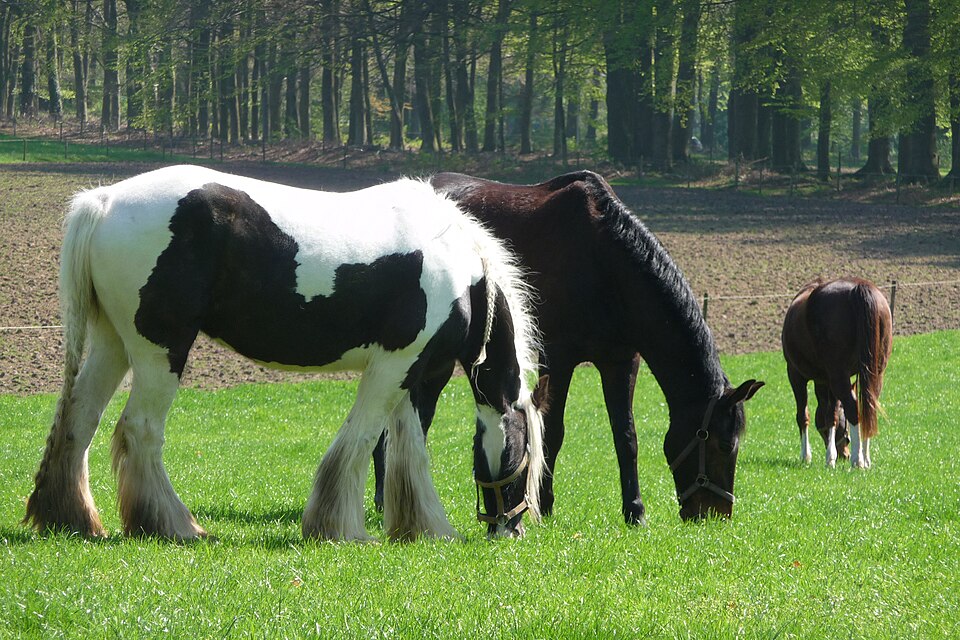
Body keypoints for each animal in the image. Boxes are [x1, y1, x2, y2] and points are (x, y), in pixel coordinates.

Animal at [24, 165, 546, 542]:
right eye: (525, 454)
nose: (513, 529)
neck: (460, 272)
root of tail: (102, 202)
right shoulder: (397, 367)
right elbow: (362, 440)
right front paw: (341, 529)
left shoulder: (415, 374)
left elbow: (408, 452)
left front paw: (425, 528)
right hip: (161, 351)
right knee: (139, 430)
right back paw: (176, 527)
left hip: (113, 345)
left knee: (79, 422)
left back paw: (72, 520)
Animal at [373, 171, 764, 522]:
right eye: (723, 444)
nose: (715, 515)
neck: (603, 259)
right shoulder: (557, 359)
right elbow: (554, 432)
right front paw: (543, 504)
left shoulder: (621, 362)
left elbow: (626, 437)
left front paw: (635, 511)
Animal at [782, 277, 892, 469]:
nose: (844, 454)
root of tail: (858, 286)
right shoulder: (826, 380)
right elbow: (830, 415)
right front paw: (830, 457)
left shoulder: (796, 374)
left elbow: (804, 415)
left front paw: (806, 455)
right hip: (875, 373)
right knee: (868, 406)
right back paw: (865, 458)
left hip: (837, 375)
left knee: (853, 407)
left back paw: (857, 460)